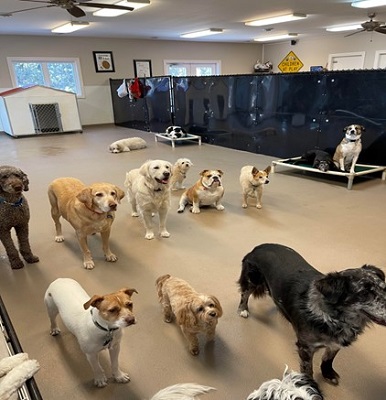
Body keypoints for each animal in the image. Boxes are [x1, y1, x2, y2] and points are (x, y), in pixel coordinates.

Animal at [237, 244, 386, 384]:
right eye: (364, 293)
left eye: (384, 288)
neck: (332, 317)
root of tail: (258, 247)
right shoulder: (306, 347)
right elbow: (308, 370)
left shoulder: (335, 343)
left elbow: (328, 359)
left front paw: (328, 373)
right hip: (252, 279)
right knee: (245, 294)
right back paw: (243, 309)